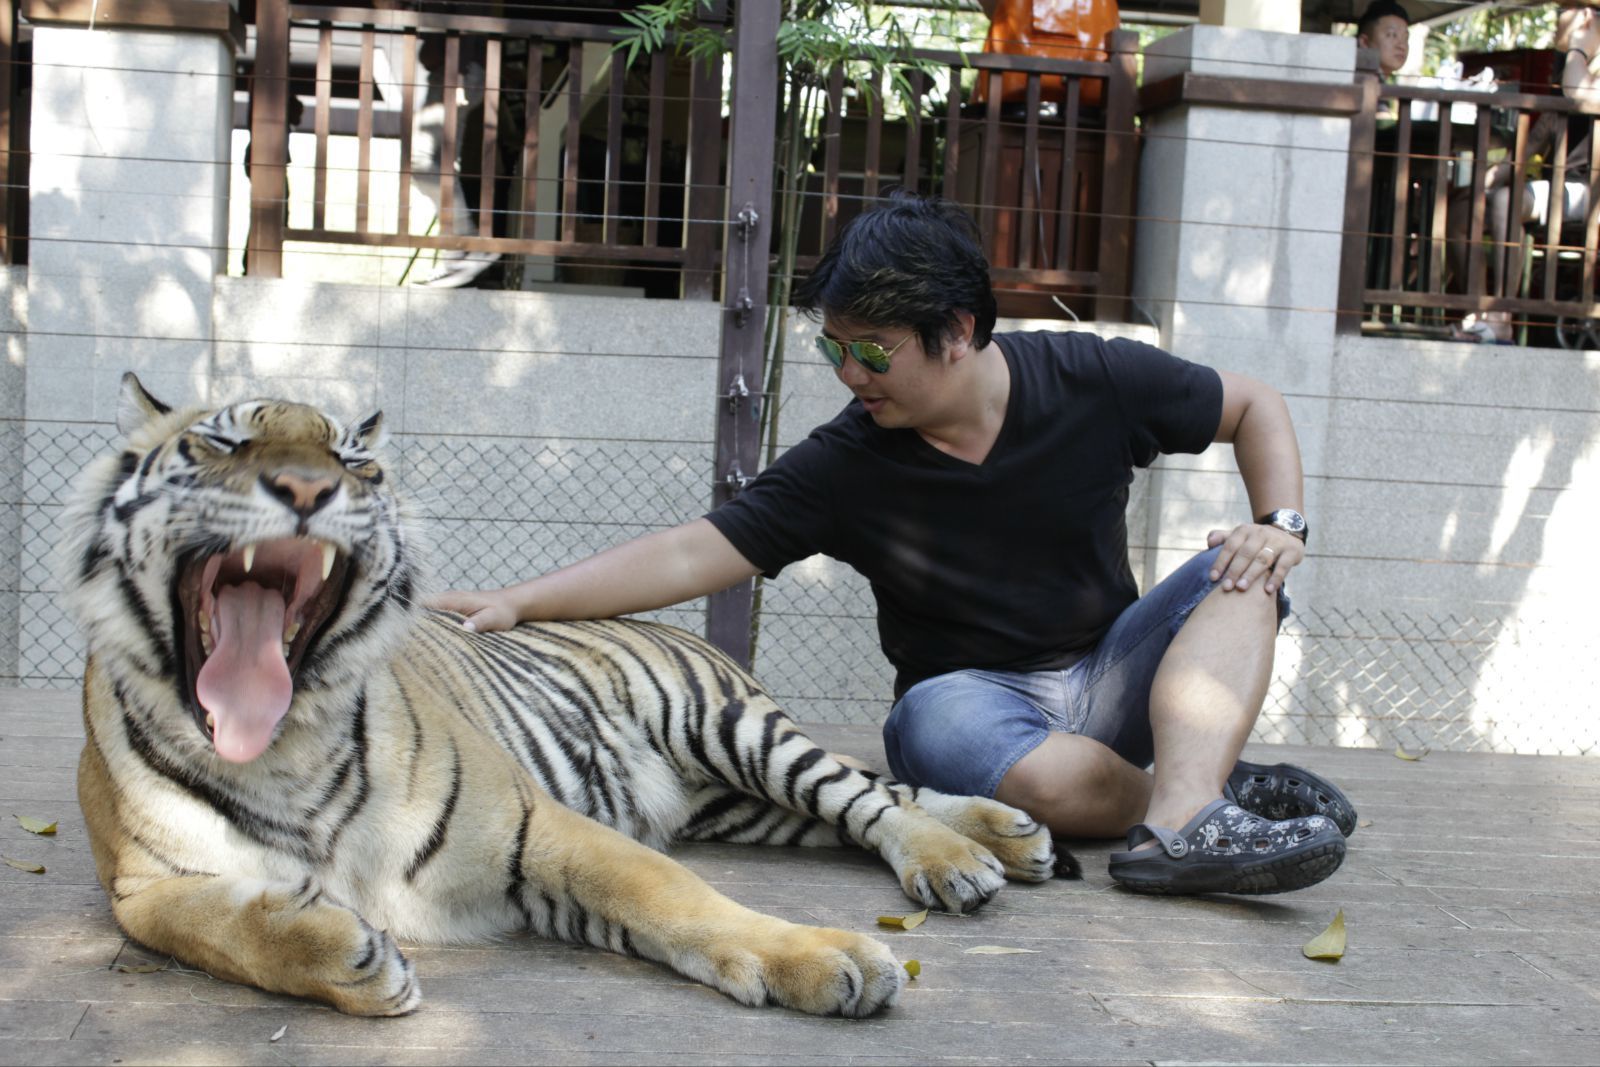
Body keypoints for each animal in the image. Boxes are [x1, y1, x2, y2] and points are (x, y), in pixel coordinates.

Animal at [59, 375, 1075, 1017]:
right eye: (220, 441)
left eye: (356, 461)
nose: (311, 488)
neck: (283, 746)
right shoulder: (140, 885)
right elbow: (207, 924)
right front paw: (345, 953)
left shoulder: (539, 825)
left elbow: (682, 900)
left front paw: (829, 959)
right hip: (741, 805)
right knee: (877, 796)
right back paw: (1009, 837)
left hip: (731, 728)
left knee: (866, 795)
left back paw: (961, 860)